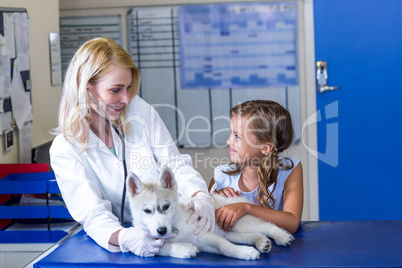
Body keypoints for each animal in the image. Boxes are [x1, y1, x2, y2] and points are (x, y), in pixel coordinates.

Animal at [127, 168, 294, 260]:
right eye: (147, 211)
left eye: (166, 206)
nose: (161, 230)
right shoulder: (149, 243)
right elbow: (161, 248)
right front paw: (183, 249)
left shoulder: (202, 234)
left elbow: (225, 246)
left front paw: (243, 252)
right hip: (229, 230)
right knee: (247, 235)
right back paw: (261, 242)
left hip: (239, 221)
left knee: (266, 225)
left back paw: (281, 236)